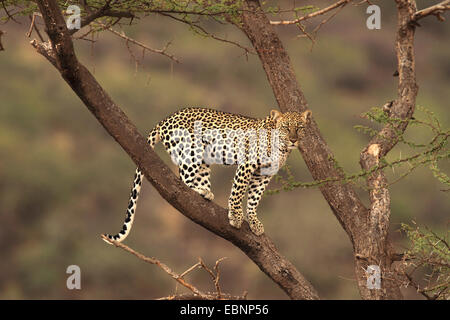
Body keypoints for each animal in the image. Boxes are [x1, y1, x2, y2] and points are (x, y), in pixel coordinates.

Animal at [103, 106, 312, 241]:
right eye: (285, 127)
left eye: (300, 128)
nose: (294, 139)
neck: (281, 148)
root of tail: (166, 119)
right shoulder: (247, 165)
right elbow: (237, 192)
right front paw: (236, 216)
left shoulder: (263, 175)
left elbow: (254, 198)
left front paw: (254, 221)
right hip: (190, 151)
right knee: (183, 180)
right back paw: (201, 191)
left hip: (203, 159)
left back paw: (207, 192)